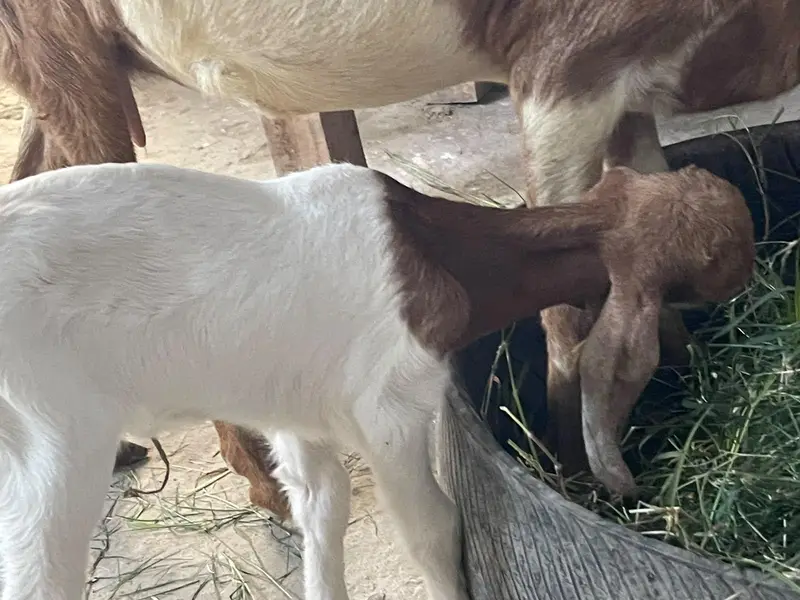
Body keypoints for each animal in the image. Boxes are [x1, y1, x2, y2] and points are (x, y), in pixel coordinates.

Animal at [0, 0, 786, 497]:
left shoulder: (636, 85)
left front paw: (686, 380)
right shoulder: (570, 64)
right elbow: (569, 319)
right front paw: (573, 471)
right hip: (56, 36)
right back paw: (261, 484)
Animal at [0, 160, 754, 600]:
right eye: (714, 262)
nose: (751, 279)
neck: (438, 253)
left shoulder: (298, 416)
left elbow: (323, 510)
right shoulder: (390, 409)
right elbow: (434, 529)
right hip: (54, 445)